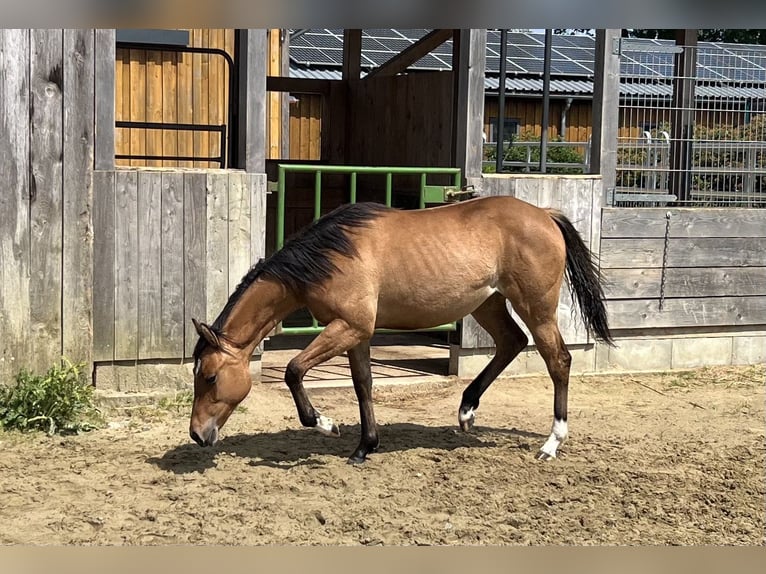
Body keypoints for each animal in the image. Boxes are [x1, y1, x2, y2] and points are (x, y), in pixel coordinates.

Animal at [189, 195, 613, 464]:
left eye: (209, 377)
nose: (196, 434)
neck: (331, 254)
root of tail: (544, 214)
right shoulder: (356, 333)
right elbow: (363, 385)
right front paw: (364, 447)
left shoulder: (350, 326)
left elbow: (294, 371)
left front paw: (327, 425)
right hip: (488, 304)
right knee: (511, 343)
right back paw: (466, 412)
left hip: (536, 307)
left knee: (558, 360)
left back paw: (551, 444)